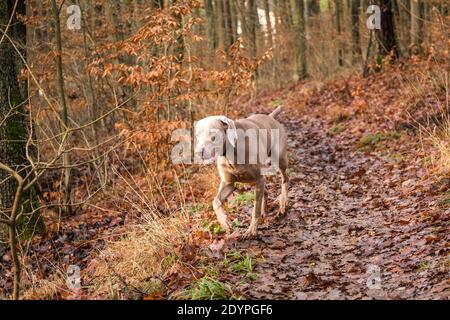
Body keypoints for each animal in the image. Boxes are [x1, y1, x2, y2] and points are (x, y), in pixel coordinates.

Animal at [196, 106, 288, 239]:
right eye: (197, 135)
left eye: (212, 134)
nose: (198, 152)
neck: (231, 152)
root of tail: (270, 117)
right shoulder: (228, 184)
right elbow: (215, 202)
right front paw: (225, 223)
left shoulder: (259, 178)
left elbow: (255, 209)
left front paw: (251, 231)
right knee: (265, 190)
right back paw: (265, 211)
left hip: (280, 160)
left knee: (285, 179)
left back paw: (282, 204)